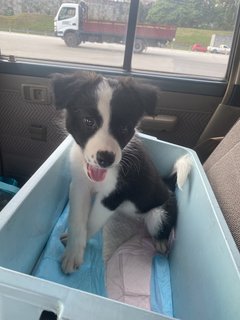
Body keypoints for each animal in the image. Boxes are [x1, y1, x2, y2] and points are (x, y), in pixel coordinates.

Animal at [52, 71, 191, 274]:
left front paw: (75, 250)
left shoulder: (113, 196)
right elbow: (77, 220)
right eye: (88, 122)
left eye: (124, 127)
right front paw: (73, 251)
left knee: (162, 226)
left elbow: (92, 222)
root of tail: (168, 185)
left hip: (159, 215)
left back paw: (161, 242)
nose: (106, 159)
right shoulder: (79, 186)